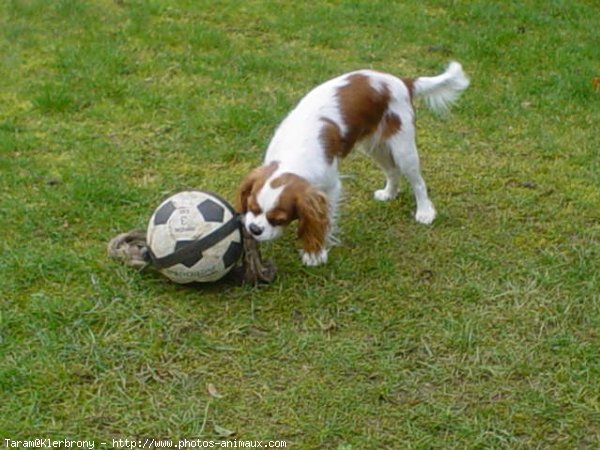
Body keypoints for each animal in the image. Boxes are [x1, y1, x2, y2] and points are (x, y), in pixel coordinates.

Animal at [236, 61, 468, 266]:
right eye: (251, 207)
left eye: (278, 219)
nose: (254, 229)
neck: (292, 158)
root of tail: (402, 81)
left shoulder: (330, 187)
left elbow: (325, 221)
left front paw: (315, 253)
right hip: (374, 146)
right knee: (392, 171)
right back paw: (389, 193)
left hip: (403, 146)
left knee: (417, 181)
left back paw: (425, 212)